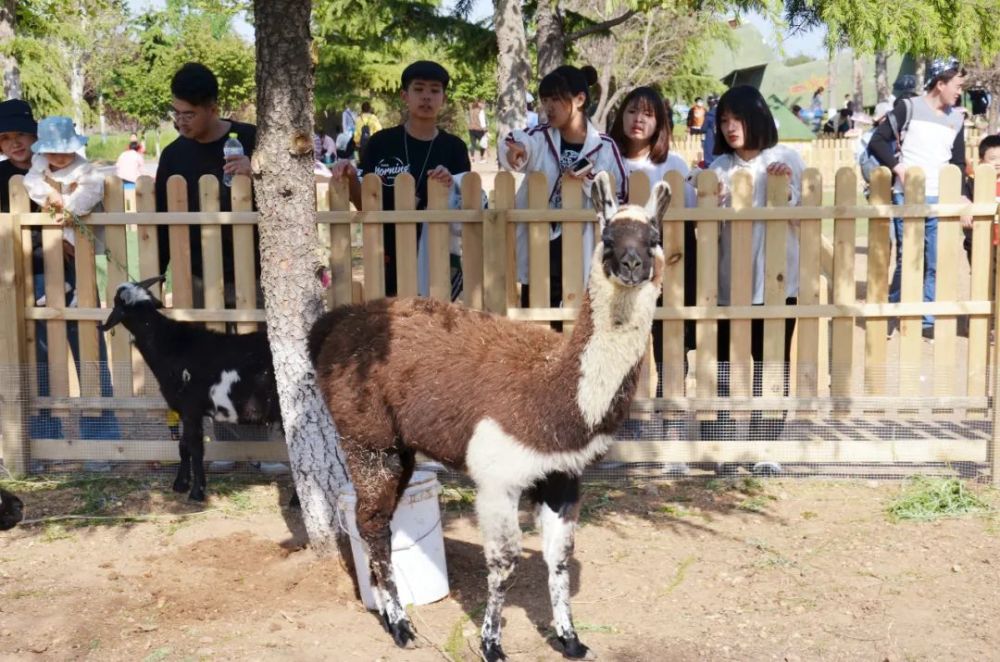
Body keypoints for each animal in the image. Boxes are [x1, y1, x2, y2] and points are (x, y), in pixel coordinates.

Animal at [101, 278, 280, 500]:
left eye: (117, 303)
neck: (170, 347)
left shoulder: (191, 408)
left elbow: (195, 448)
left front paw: (196, 492)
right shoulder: (184, 411)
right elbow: (182, 446)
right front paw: (180, 484)